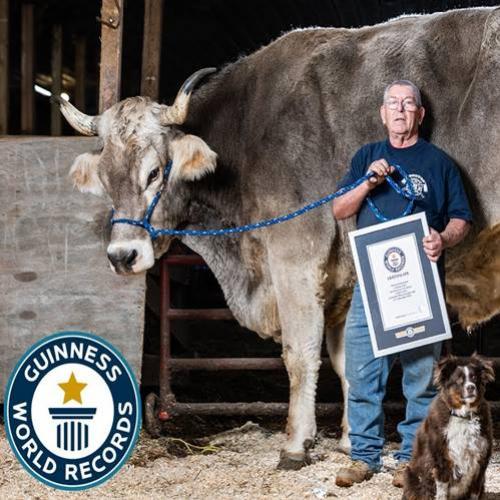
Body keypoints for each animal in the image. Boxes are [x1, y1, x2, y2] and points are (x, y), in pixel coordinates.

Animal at [404, 354, 494, 498]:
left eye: (474, 378)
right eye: (459, 380)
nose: (471, 387)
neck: (463, 416)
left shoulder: (480, 463)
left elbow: (474, 492)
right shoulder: (441, 461)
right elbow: (441, 493)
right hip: (411, 475)